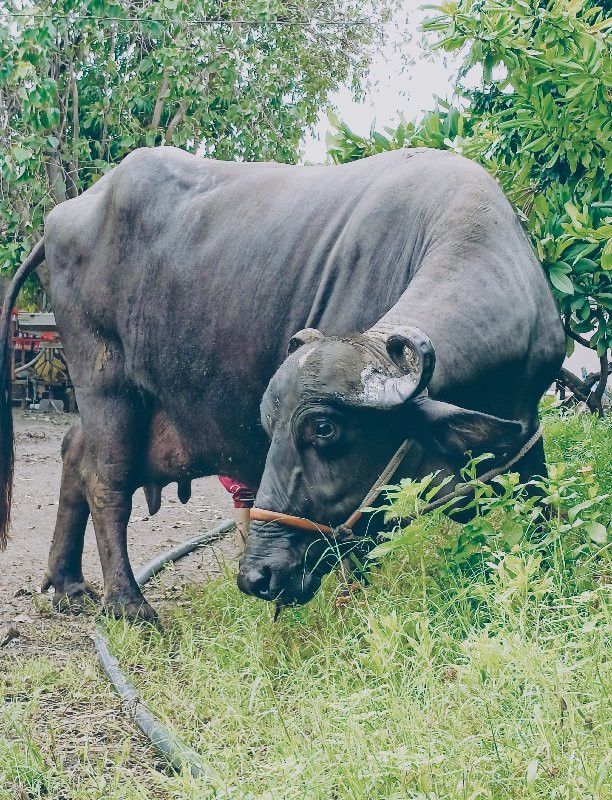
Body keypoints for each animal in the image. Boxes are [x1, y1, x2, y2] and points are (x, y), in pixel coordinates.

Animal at [0, 145, 564, 620]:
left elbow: (541, 503)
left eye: (324, 429)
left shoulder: (528, 428)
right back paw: (128, 603)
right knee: (106, 480)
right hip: (106, 385)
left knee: (74, 451)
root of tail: (64, 216)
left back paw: (68, 583)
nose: (257, 576)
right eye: (272, 429)